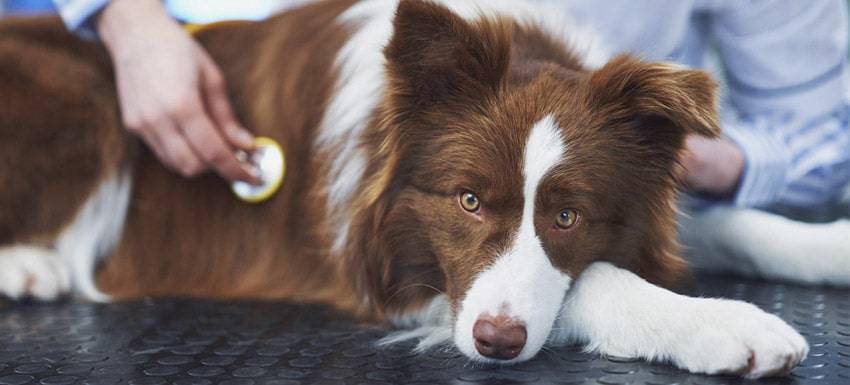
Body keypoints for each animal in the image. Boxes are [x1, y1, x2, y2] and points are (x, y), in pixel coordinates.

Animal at [0, 0, 808, 376]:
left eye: (569, 215)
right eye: (469, 200)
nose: (496, 344)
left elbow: (736, 224)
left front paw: (823, 246)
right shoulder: (389, 266)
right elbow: (596, 283)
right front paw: (726, 325)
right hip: (87, 93)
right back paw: (30, 266)